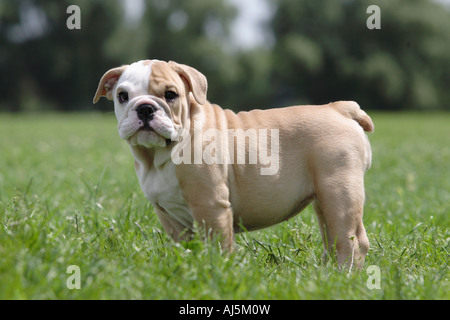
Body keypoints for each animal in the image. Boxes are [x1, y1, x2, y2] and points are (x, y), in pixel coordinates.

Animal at [93, 58, 374, 268]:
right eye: (122, 96)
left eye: (170, 95)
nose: (144, 108)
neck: (159, 156)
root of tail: (340, 108)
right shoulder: (169, 215)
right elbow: (184, 247)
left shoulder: (211, 207)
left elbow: (218, 246)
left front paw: (218, 271)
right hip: (323, 199)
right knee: (331, 236)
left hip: (339, 192)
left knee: (352, 240)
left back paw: (344, 275)